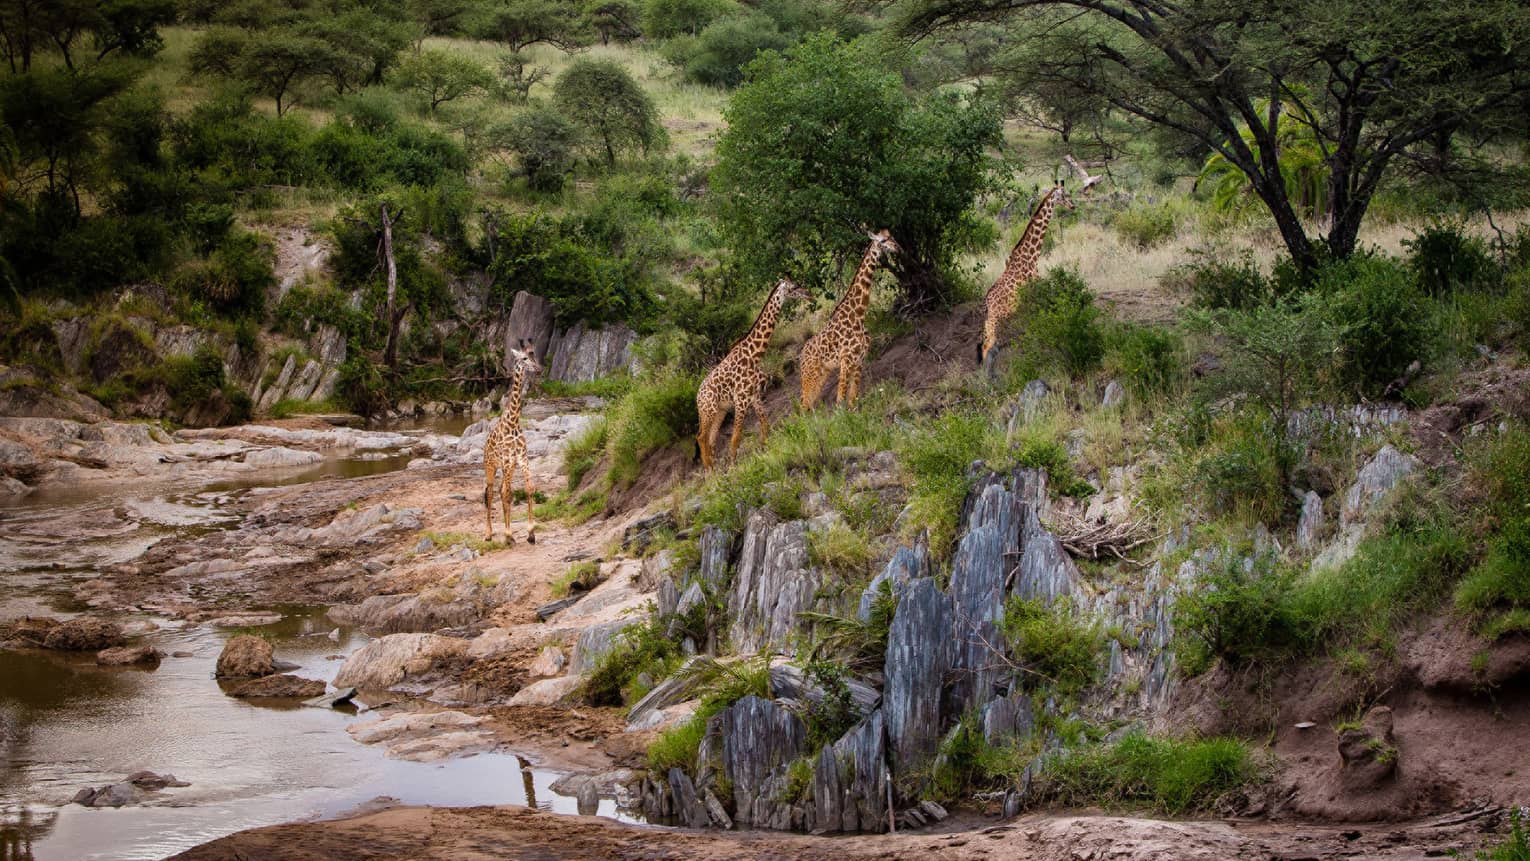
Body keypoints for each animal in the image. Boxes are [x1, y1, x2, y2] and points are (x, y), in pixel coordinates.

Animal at [483, 339, 543, 544]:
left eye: (535, 356)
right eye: (524, 358)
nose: (539, 369)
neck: (514, 421)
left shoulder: (521, 458)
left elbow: (529, 488)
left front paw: (531, 533)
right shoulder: (509, 460)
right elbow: (507, 494)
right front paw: (508, 534)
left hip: (506, 467)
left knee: (501, 490)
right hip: (491, 466)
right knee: (491, 493)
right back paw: (489, 533)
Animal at [696, 277, 811, 469]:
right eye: (794, 287)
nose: (809, 293)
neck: (754, 354)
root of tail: (697, 397)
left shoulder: (754, 395)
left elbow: (765, 425)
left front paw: (766, 450)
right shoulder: (741, 399)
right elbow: (736, 436)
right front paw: (733, 465)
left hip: (720, 411)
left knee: (710, 439)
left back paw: (713, 468)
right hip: (708, 410)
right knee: (701, 437)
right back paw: (709, 469)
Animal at [799, 229, 901, 410]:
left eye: (892, 237)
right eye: (882, 240)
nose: (897, 248)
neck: (859, 314)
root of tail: (801, 356)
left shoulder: (859, 360)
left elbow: (853, 398)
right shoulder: (846, 360)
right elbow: (840, 400)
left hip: (823, 372)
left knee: (809, 403)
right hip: (810, 373)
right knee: (803, 405)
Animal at [979, 180, 1076, 369]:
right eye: (1064, 195)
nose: (1073, 206)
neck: (1032, 256)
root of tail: (986, 302)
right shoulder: (1035, 290)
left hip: (990, 321)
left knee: (984, 347)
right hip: (996, 319)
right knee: (986, 347)